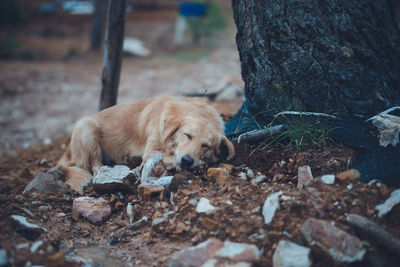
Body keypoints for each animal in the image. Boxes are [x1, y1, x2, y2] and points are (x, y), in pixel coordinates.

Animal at [57, 96, 236, 193]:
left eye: (205, 146)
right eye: (188, 135)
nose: (187, 160)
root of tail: (65, 156)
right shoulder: (151, 151)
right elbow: (166, 157)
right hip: (87, 126)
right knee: (94, 167)